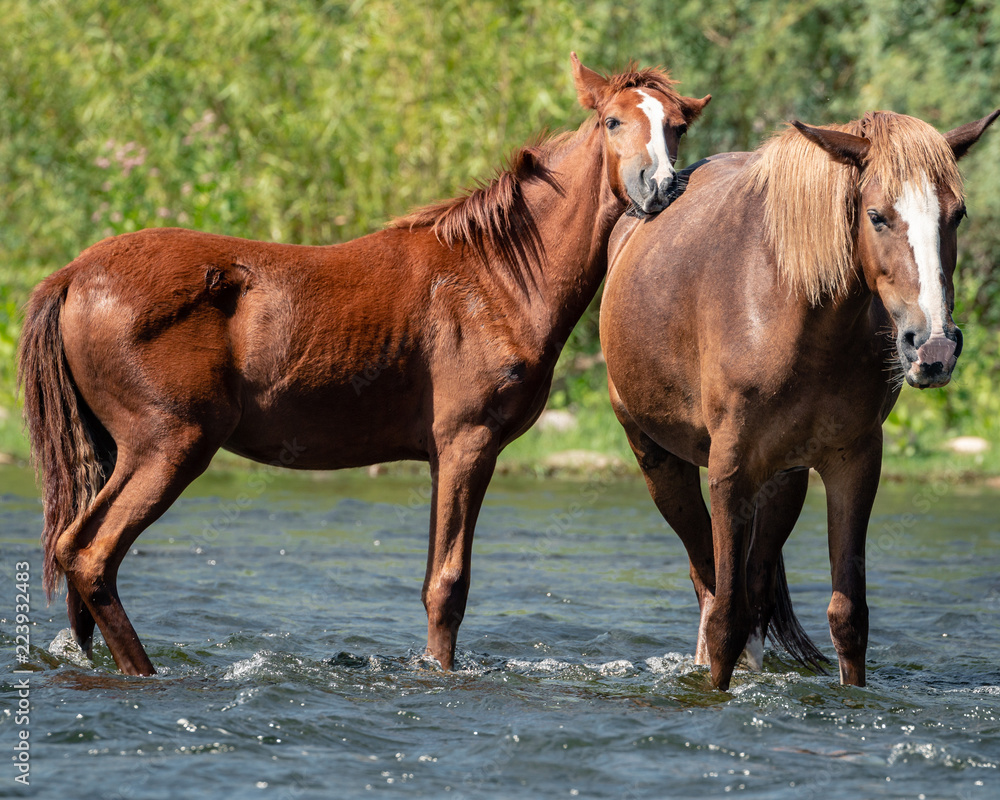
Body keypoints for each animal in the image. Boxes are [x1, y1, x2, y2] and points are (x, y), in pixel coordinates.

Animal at [17, 54, 710, 676]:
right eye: (613, 121)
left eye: (677, 126)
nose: (660, 186)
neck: (495, 276)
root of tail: (73, 275)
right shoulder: (468, 441)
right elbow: (449, 586)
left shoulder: (442, 453)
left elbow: (434, 580)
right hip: (169, 442)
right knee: (90, 555)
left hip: (121, 448)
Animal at [601, 108, 999, 690]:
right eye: (876, 216)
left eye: (958, 213)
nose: (934, 348)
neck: (793, 313)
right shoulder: (729, 471)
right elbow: (724, 618)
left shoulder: (854, 463)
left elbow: (848, 617)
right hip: (660, 463)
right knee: (709, 586)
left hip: (782, 483)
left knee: (755, 590)